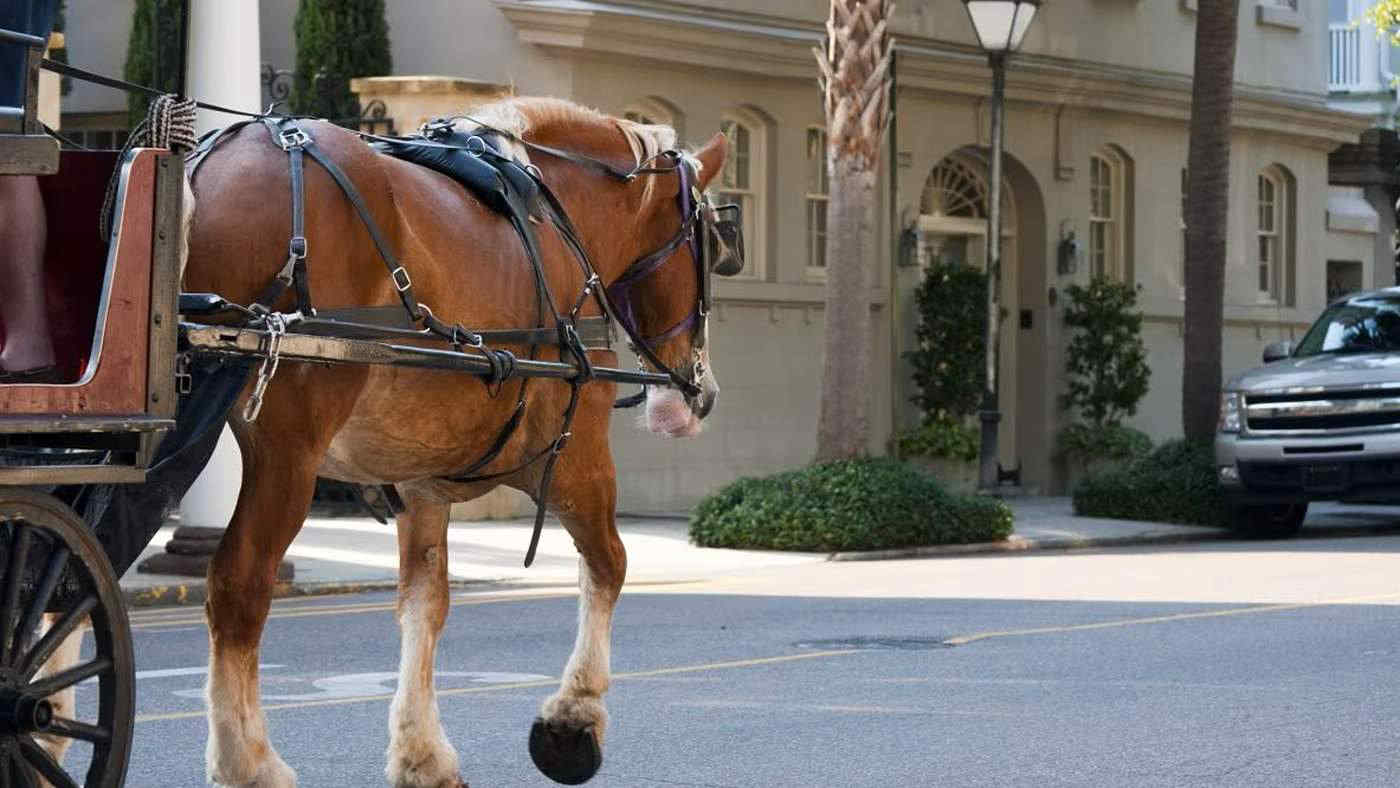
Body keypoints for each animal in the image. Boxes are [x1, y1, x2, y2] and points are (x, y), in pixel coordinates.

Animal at [176, 96, 730, 787]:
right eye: (711, 243)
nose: (698, 394)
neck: (560, 224)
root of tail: (214, 164)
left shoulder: (420, 482)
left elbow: (425, 602)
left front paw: (421, 752)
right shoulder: (575, 454)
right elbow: (608, 565)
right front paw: (572, 720)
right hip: (287, 449)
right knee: (240, 586)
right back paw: (248, 761)